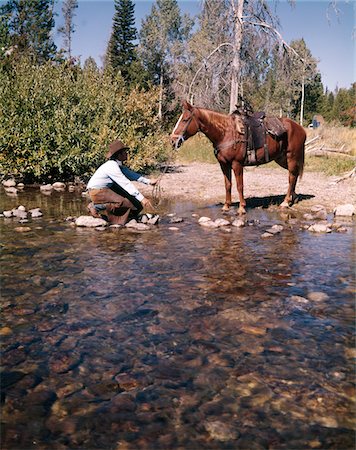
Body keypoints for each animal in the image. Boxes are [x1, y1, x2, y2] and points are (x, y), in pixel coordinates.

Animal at [170, 101, 306, 215]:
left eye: (185, 120)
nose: (172, 140)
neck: (226, 133)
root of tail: (301, 129)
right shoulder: (224, 164)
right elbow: (228, 185)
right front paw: (226, 206)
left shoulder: (237, 164)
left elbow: (239, 186)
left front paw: (241, 207)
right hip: (282, 159)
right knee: (293, 175)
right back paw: (292, 198)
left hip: (291, 157)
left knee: (291, 177)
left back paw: (285, 202)